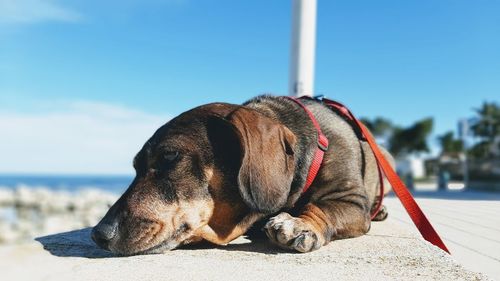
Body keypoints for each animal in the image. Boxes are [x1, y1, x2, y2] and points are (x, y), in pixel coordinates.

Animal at [92, 94, 392, 254]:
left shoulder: (351, 201)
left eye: (169, 156)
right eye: (136, 167)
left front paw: (301, 223)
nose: (98, 234)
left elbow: (322, 207)